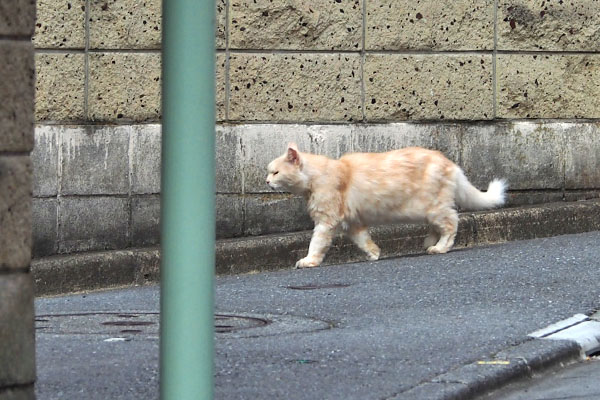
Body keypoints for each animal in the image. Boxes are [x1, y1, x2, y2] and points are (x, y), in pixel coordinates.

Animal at [268, 144, 506, 268]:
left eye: (275, 172)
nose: (267, 181)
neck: (316, 177)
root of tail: (451, 163)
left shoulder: (327, 221)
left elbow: (316, 244)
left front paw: (309, 261)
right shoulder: (351, 223)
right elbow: (364, 240)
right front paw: (374, 254)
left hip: (434, 208)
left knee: (451, 223)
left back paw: (439, 247)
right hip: (429, 210)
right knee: (441, 224)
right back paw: (429, 241)